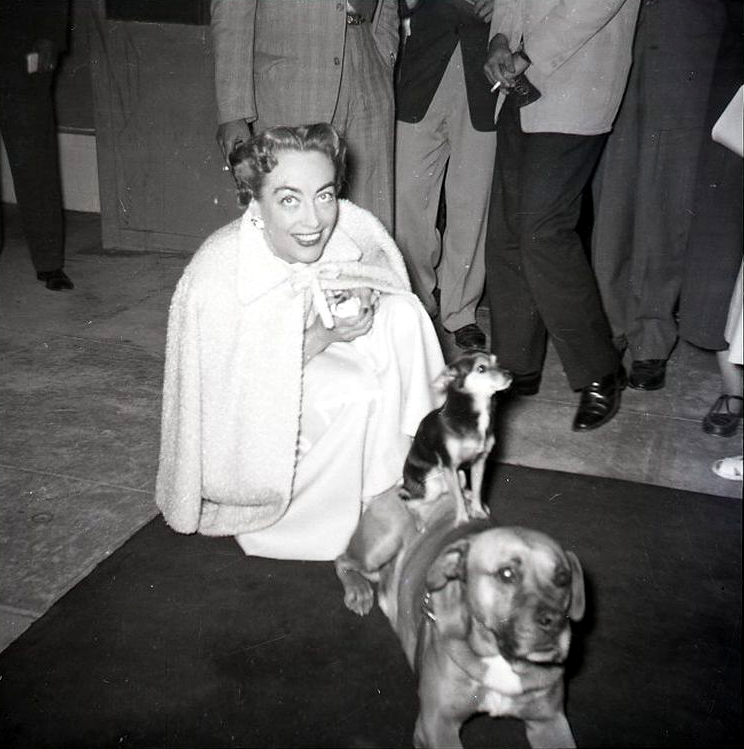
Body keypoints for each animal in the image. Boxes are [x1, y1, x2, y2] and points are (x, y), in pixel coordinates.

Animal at [402, 350, 512, 520]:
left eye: (497, 362)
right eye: (481, 368)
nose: (509, 374)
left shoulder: (479, 461)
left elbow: (477, 489)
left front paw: (478, 511)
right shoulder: (450, 466)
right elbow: (458, 500)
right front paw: (462, 520)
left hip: (460, 476)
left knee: (459, 491)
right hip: (432, 487)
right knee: (410, 502)